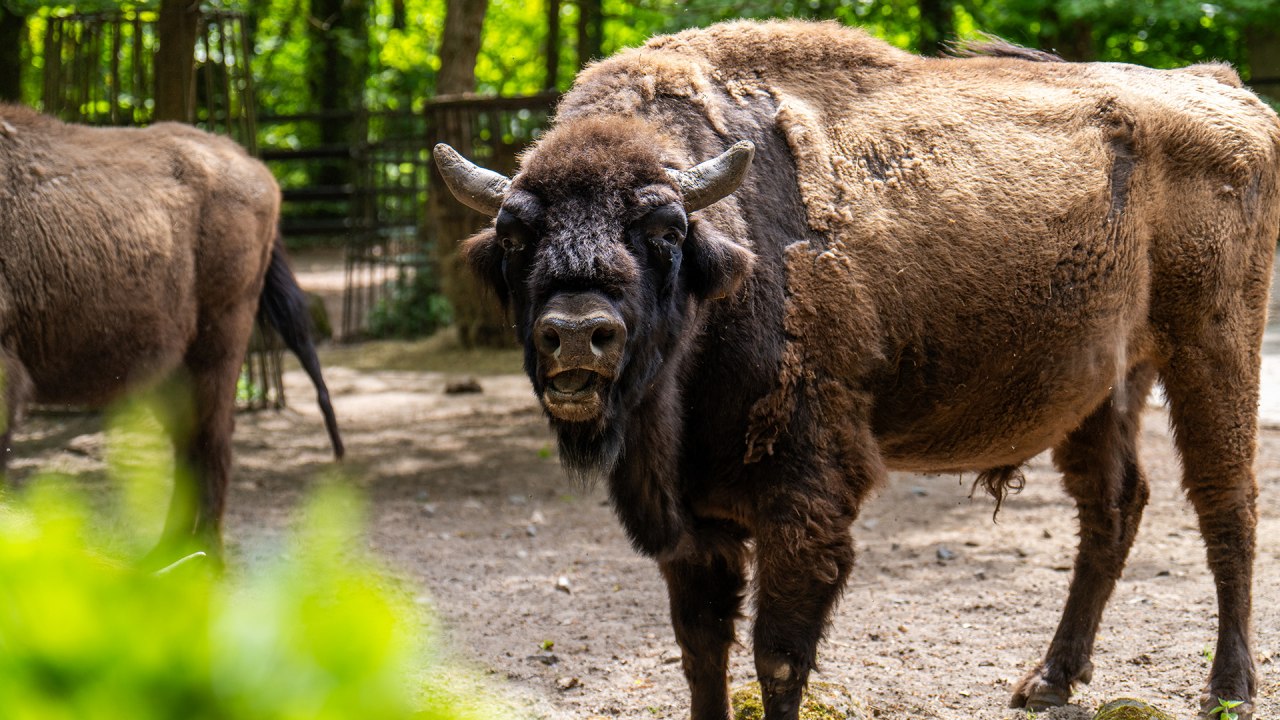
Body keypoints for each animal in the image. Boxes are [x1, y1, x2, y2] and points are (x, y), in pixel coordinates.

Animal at [0, 105, 343, 563]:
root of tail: (254, 168)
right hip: (168, 369)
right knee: (188, 443)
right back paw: (166, 553)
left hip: (219, 343)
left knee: (213, 441)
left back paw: (206, 557)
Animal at [435, 20, 1280, 720]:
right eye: (515, 234)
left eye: (664, 229)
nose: (579, 333)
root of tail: (1225, 89)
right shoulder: (694, 525)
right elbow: (703, 655)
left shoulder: (803, 505)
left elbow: (778, 657)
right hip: (1102, 386)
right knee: (1112, 507)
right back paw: (1049, 680)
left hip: (1214, 345)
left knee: (1226, 504)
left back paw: (1229, 689)